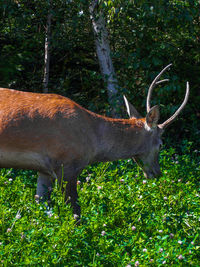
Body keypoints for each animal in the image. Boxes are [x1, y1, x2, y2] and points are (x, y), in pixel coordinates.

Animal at [0, 64, 189, 218]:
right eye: (161, 144)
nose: (157, 173)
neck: (93, 142)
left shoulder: (44, 170)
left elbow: (43, 209)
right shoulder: (66, 165)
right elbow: (75, 213)